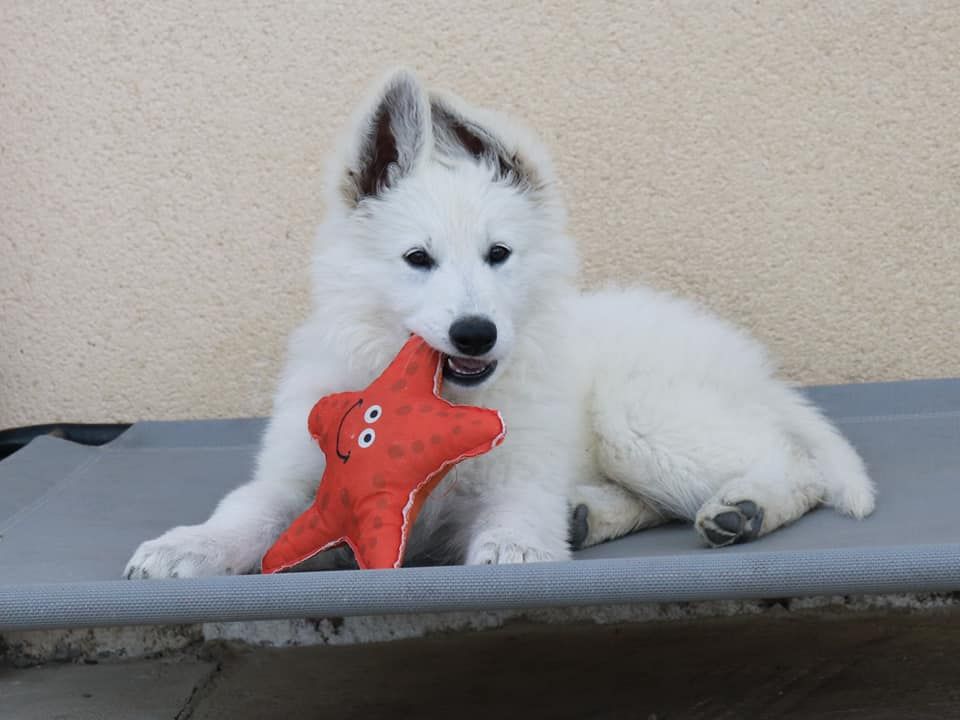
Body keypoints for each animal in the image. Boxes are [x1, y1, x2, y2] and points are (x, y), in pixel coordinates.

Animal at [124, 70, 872, 580]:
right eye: (417, 259)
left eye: (499, 254)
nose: (475, 334)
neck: (433, 392)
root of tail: (749, 363)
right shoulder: (299, 482)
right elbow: (246, 512)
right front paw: (186, 546)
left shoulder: (517, 474)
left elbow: (517, 513)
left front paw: (516, 550)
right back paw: (592, 515)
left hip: (639, 415)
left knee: (794, 463)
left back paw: (745, 506)